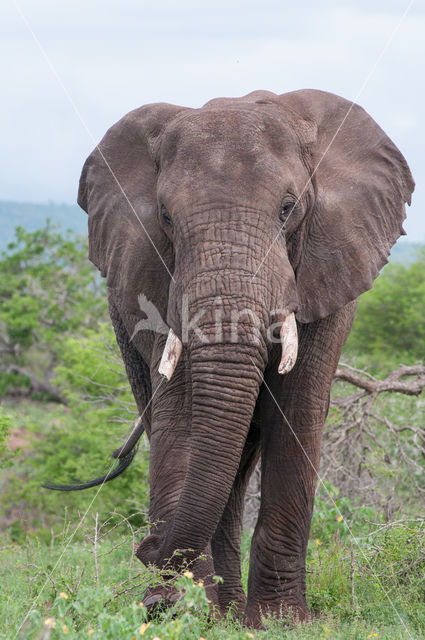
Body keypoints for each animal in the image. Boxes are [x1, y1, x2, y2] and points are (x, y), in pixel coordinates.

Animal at [48, 89, 412, 624]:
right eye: (165, 217)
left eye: (288, 209)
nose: (146, 548)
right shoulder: (155, 280)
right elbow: (182, 414)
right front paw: (181, 613)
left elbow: (297, 413)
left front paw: (281, 621)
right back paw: (220, 612)